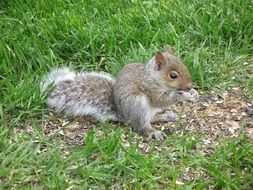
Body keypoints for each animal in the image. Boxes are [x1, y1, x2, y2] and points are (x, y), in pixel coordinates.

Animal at [41, 45, 199, 141]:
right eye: (173, 75)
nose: (189, 86)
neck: (153, 77)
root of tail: (124, 115)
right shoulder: (149, 88)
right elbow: (161, 100)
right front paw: (184, 95)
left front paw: (193, 93)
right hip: (138, 103)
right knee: (141, 125)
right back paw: (153, 132)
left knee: (152, 118)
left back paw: (166, 116)